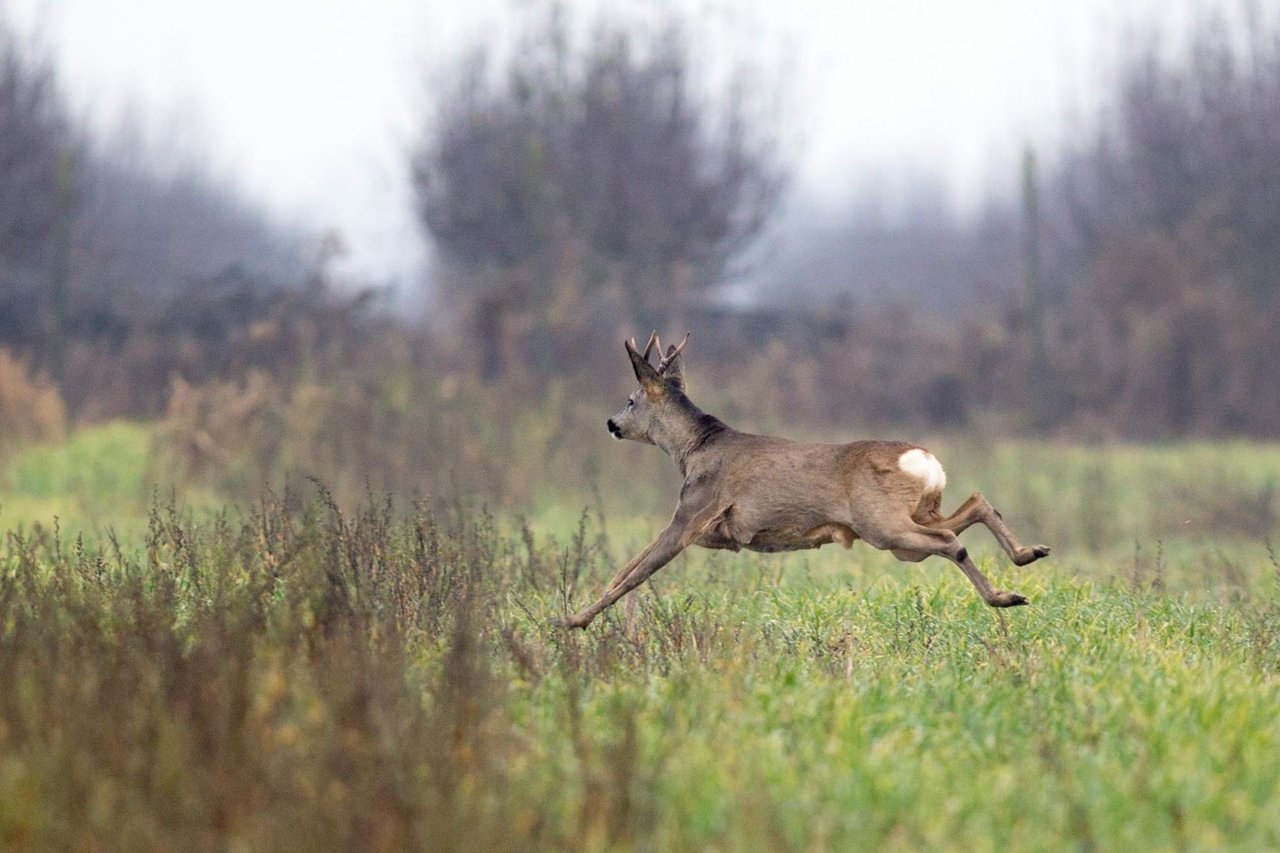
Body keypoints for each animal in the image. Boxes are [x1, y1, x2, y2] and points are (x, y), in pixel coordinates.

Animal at [560, 327, 1049, 627]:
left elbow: (633, 572)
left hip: (882, 524)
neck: (694, 449)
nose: (611, 423)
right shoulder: (709, 531)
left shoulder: (693, 511)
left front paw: (573, 620)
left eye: (630, 399)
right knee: (976, 504)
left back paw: (1004, 596)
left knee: (951, 541)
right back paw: (1029, 555)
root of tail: (924, 460)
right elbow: (628, 567)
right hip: (915, 517)